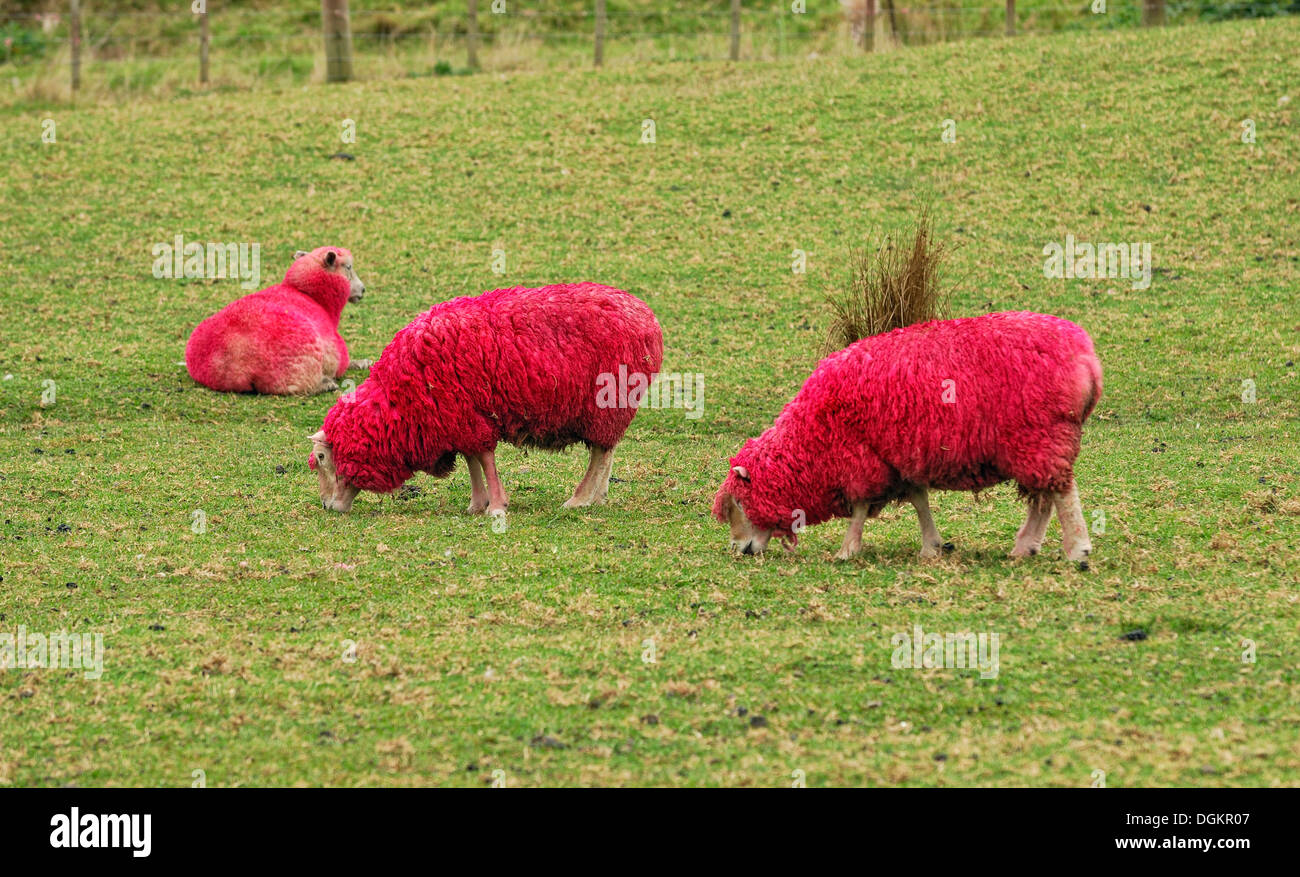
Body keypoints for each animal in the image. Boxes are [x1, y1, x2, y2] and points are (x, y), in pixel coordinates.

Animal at [184, 246, 366, 397]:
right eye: (348, 267)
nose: (363, 289)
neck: (310, 296)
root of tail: (237, 366)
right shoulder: (334, 348)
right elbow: (344, 363)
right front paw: (361, 363)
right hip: (298, 369)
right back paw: (326, 384)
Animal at [309, 283, 665, 514]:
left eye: (322, 458)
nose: (328, 506)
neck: (398, 401)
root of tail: (646, 315)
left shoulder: (467, 415)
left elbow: (484, 457)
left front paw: (495, 505)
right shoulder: (460, 417)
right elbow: (472, 460)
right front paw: (477, 503)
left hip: (607, 403)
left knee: (601, 454)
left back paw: (581, 499)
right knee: (606, 451)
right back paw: (598, 495)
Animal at [717, 311, 1102, 566]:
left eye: (740, 504)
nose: (739, 550)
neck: (811, 437)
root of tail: (1087, 356)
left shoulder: (863, 458)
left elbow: (860, 507)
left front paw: (847, 549)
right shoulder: (897, 458)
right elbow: (919, 500)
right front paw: (932, 545)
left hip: (1042, 433)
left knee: (1062, 493)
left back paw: (1077, 549)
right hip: (1035, 441)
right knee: (1043, 497)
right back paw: (1025, 547)